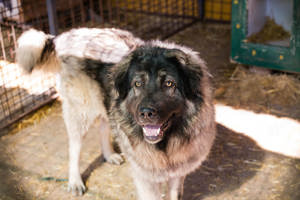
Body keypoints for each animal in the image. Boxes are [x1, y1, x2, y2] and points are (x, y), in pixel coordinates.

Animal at [16, 27, 214, 199]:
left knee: (104, 127)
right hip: (80, 114)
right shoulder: (146, 180)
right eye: (137, 84)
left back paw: (109, 155)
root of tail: (67, 35)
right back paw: (75, 181)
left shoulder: (177, 175)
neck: (165, 145)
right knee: (74, 148)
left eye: (169, 84)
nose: (146, 113)